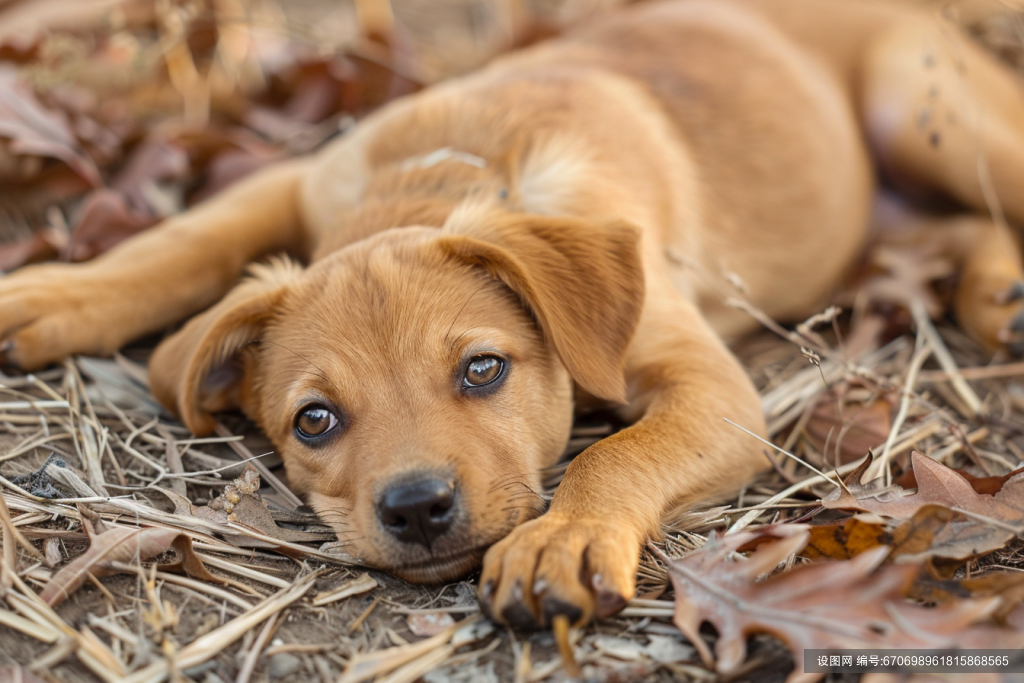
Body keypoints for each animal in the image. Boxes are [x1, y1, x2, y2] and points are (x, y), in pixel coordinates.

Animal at [2, 0, 1024, 630]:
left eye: (483, 369)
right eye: (315, 420)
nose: (417, 508)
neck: (460, 168)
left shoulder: (715, 386)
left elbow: (617, 452)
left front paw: (559, 540)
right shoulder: (296, 179)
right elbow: (183, 238)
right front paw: (53, 295)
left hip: (922, 105)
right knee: (954, 225)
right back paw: (997, 294)